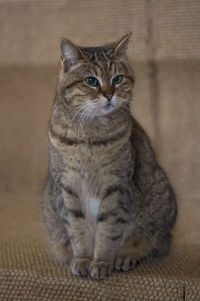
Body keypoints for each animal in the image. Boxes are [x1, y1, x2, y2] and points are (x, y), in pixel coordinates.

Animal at [43, 32, 177, 278]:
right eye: (91, 81)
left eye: (117, 79)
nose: (108, 95)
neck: (90, 137)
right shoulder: (68, 189)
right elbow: (77, 229)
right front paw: (83, 259)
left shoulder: (116, 187)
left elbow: (108, 229)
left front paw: (102, 262)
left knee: (157, 243)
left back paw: (127, 255)